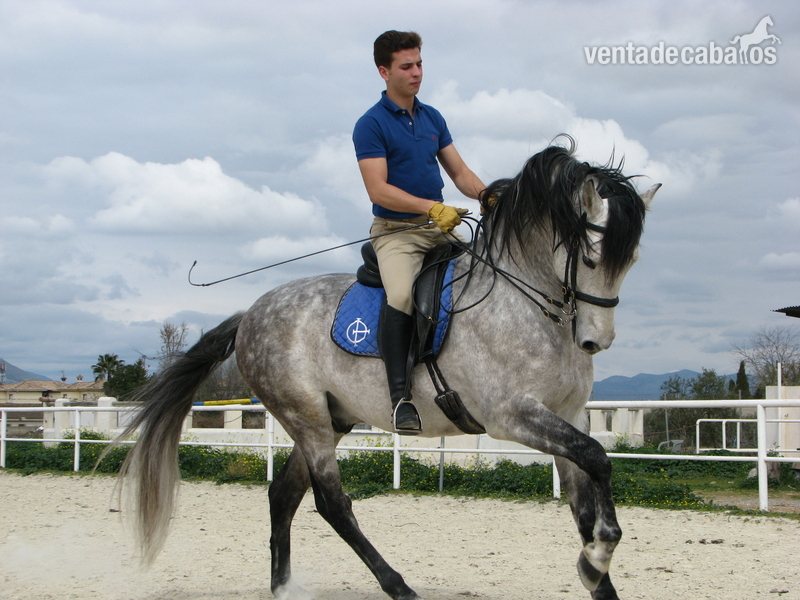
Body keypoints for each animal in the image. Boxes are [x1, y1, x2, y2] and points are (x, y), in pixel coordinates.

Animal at [112, 138, 658, 600]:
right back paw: (398, 586)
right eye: (591, 257)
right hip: (308, 420)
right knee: (332, 504)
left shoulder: (570, 413)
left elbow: (584, 498)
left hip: (330, 420)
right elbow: (599, 459)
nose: (595, 341)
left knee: (283, 494)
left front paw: (597, 572)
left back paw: (286, 589)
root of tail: (250, 313)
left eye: (631, 259)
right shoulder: (512, 416)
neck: (529, 303)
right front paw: (595, 559)